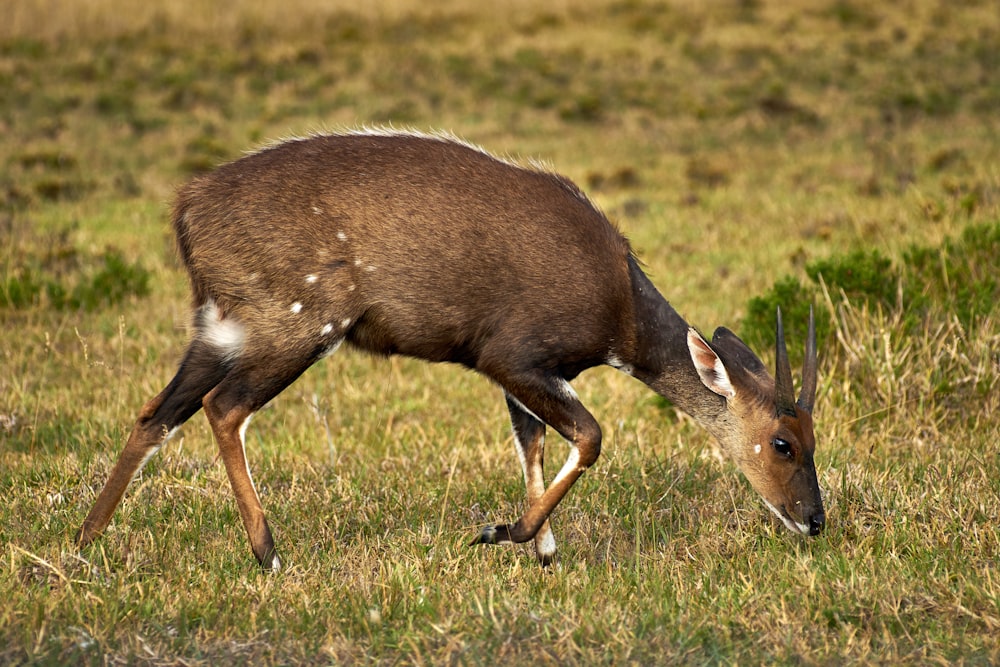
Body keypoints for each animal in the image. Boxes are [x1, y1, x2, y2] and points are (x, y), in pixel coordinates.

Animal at [78, 129, 824, 568]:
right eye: (784, 442)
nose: (814, 521)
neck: (624, 313)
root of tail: (186, 208)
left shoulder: (527, 375)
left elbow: (534, 444)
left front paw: (542, 550)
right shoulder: (512, 356)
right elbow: (589, 436)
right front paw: (502, 533)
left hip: (217, 328)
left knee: (156, 412)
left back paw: (86, 542)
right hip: (298, 324)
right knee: (223, 407)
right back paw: (269, 553)